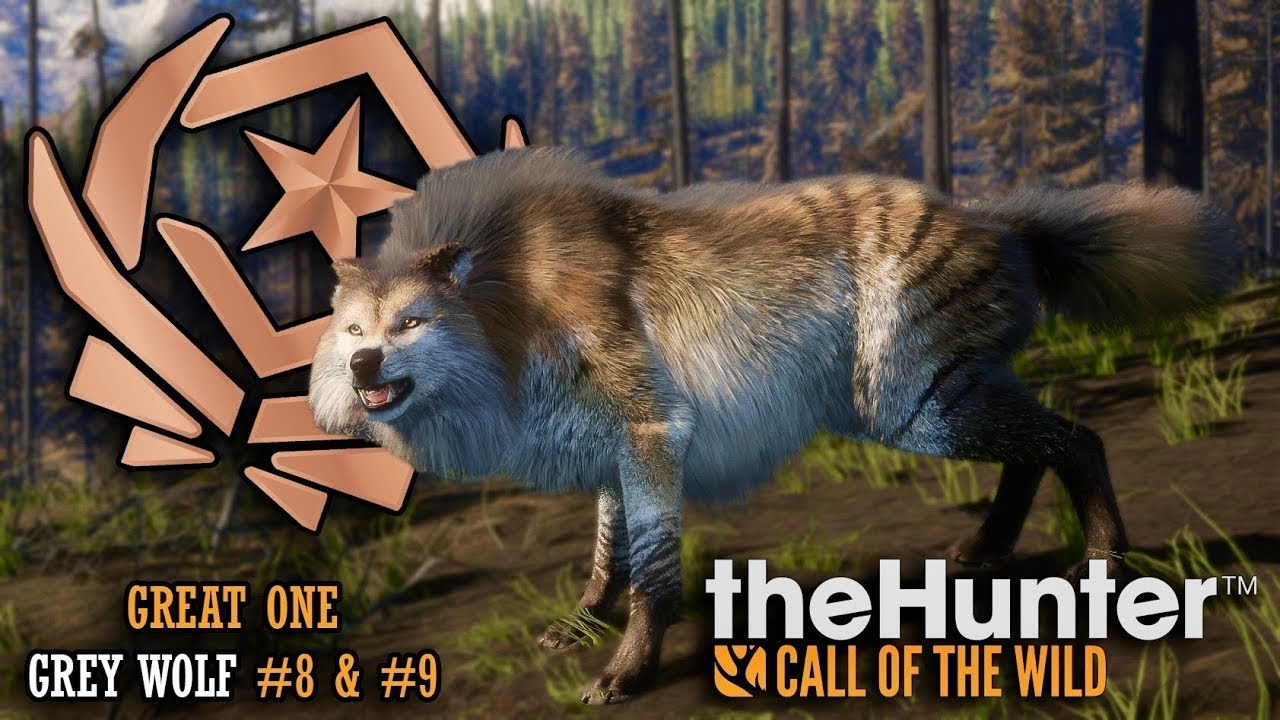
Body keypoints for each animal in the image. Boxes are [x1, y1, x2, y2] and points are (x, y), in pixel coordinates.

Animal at [308, 146, 1237, 703]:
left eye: (411, 324)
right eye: (354, 331)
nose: (362, 368)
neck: (516, 307)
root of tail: (998, 219)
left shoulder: (653, 436)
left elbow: (651, 577)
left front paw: (625, 673)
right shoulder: (611, 453)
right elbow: (606, 560)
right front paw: (579, 628)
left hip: (915, 413)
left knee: (1077, 438)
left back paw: (1103, 565)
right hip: (941, 406)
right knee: (1040, 446)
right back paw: (984, 552)